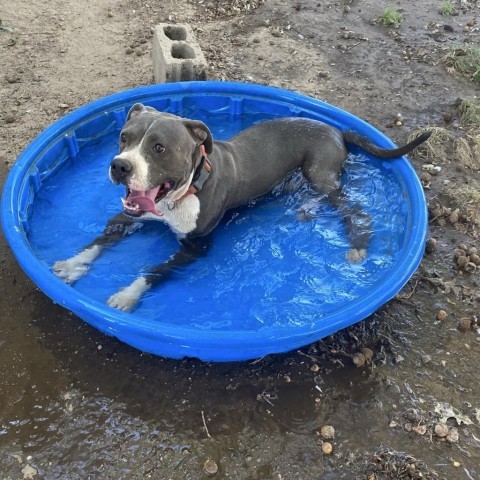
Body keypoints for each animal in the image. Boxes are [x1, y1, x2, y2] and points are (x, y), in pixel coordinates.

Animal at [53, 103, 432, 314]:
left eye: (159, 147)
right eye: (124, 137)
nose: (120, 165)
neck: (180, 196)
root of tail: (335, 128)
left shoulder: (196, 248)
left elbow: (155, 270)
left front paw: (126, 295)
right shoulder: (130, 216)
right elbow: (98, 242)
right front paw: (72, 265)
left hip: (320, 173)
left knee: (353, 207)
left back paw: (357, 245)